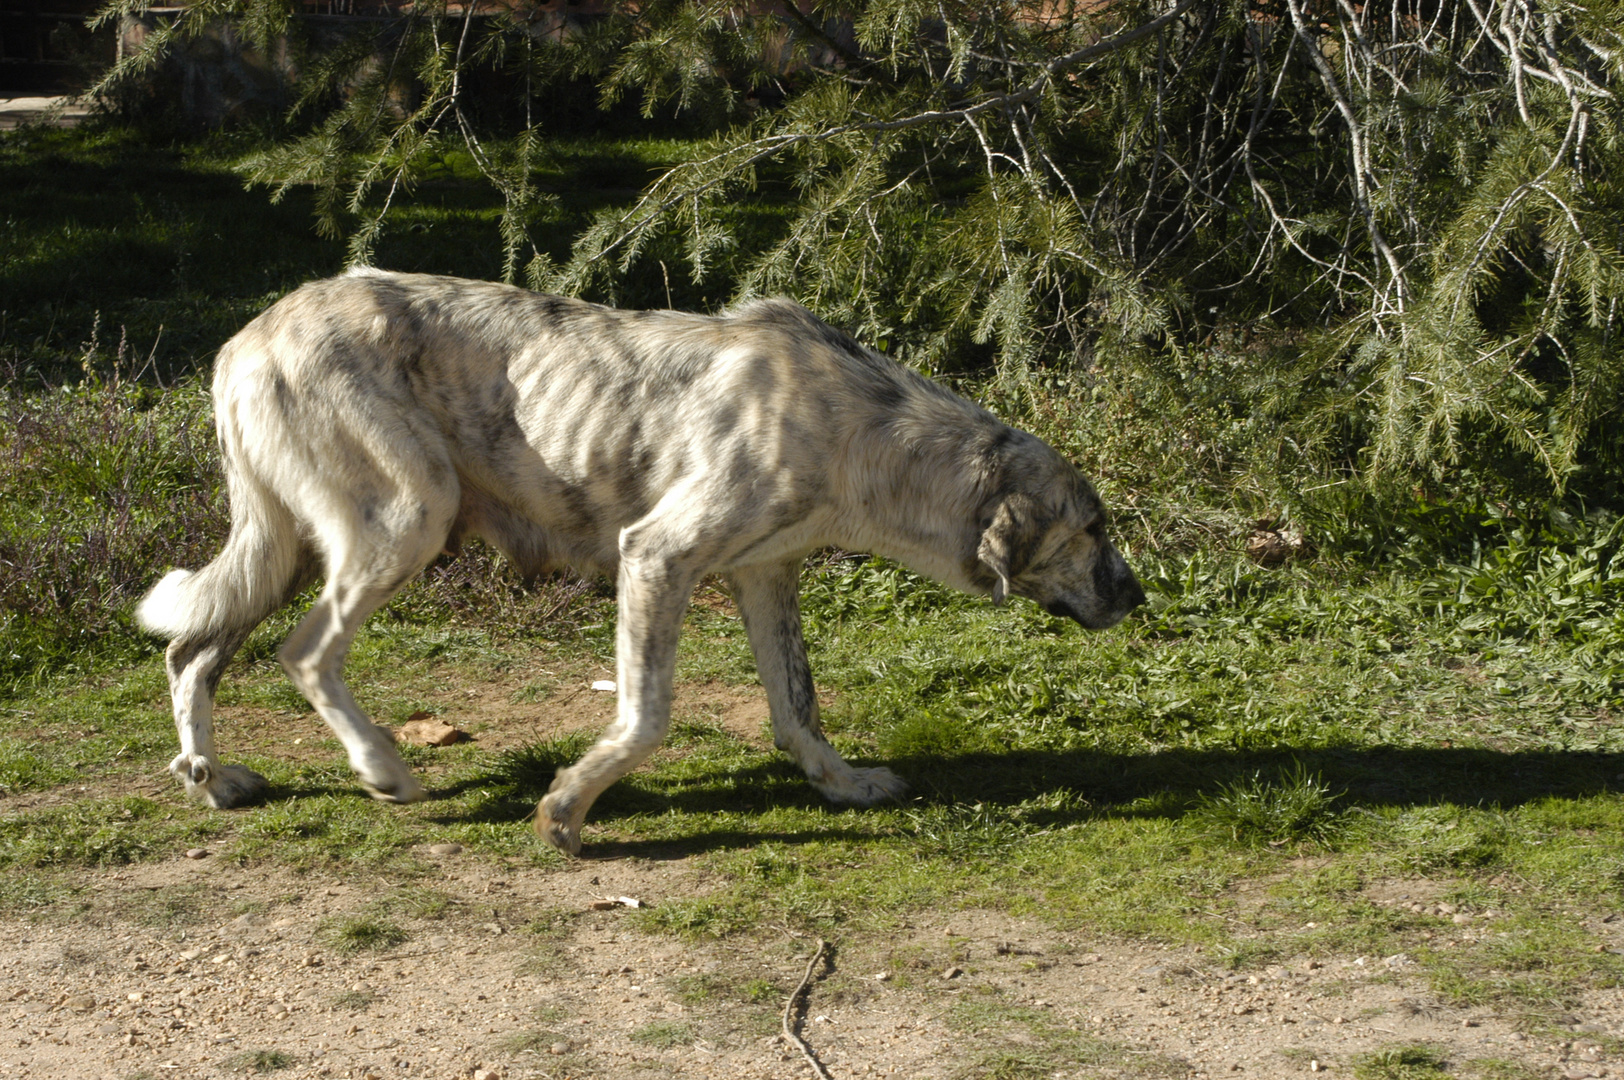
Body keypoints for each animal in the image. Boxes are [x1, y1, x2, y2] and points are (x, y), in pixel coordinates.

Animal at [142, 267, 1156, 851]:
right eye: (1095, 531)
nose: (1140, 597)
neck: (862, 429)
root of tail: (244, 338)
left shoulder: (764, 576)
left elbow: (797, 705)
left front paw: (843, 785)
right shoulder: (656, 559)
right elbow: (647, 717)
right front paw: (565, 810)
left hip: (284, 551)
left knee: (191, 653)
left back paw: (211, 781)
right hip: (405, 524)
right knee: (305, 654)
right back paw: (382, 770)